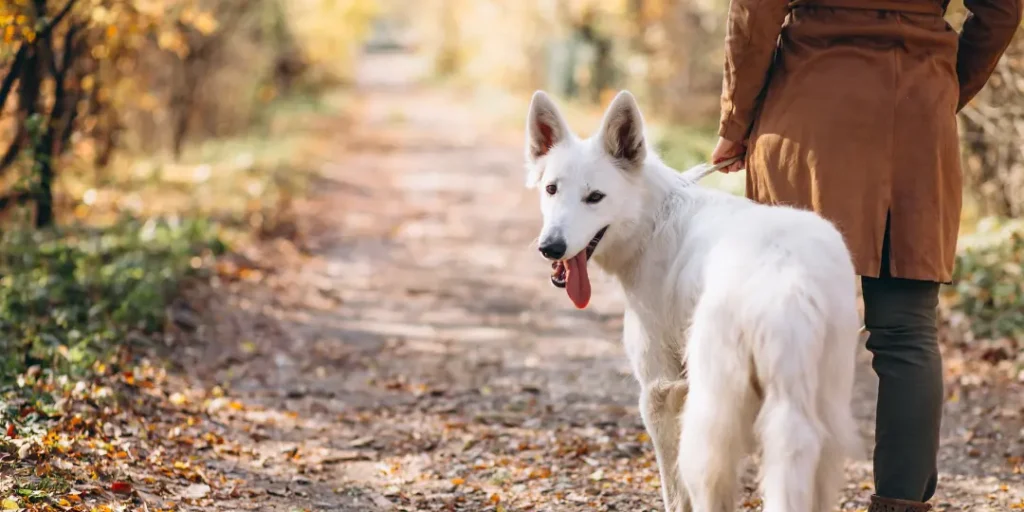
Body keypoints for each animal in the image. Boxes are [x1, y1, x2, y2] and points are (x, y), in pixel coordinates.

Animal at [520, 92, 864, 512]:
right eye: (552, 189)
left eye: (595, 198)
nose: (550, 248)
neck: (652, 218)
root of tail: (789, 275)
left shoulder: (659, 391)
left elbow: (673, 489)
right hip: (822, 401)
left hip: (712, 413)